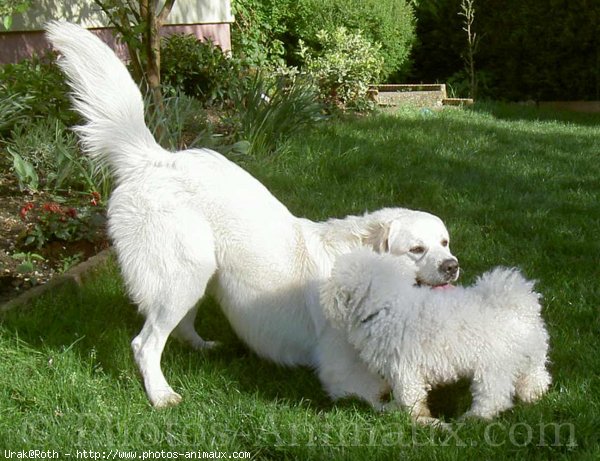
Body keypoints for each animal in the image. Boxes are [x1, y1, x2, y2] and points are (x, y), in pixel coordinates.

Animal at [47, 22, 460, 410]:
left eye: (445, 243)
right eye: (416, 250)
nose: (452, 266)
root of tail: (155, 158)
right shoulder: (340, 369)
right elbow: (383, 399)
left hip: (200, 271)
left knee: (178, 328)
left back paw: (203, 349)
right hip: (183, 272)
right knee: (145, 343)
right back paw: (161, 395)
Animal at [322, 250, 552, 426]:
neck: (386, 306)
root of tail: (517, 306)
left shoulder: (404, 369)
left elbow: (409, 396)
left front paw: (408, 414)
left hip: (493, 367)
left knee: (494, 397)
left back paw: (474, 418)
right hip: (531, 358)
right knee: (536, 378)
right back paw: (533, 397)